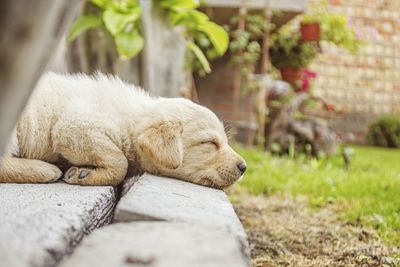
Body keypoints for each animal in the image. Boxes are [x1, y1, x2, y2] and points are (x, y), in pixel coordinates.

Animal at [0, 73, 247, 189]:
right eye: (210, 143)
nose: (244, 167)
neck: (132, 119)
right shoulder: (73, 127)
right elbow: (119, 162)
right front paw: (84, 175)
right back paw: (44, 169)